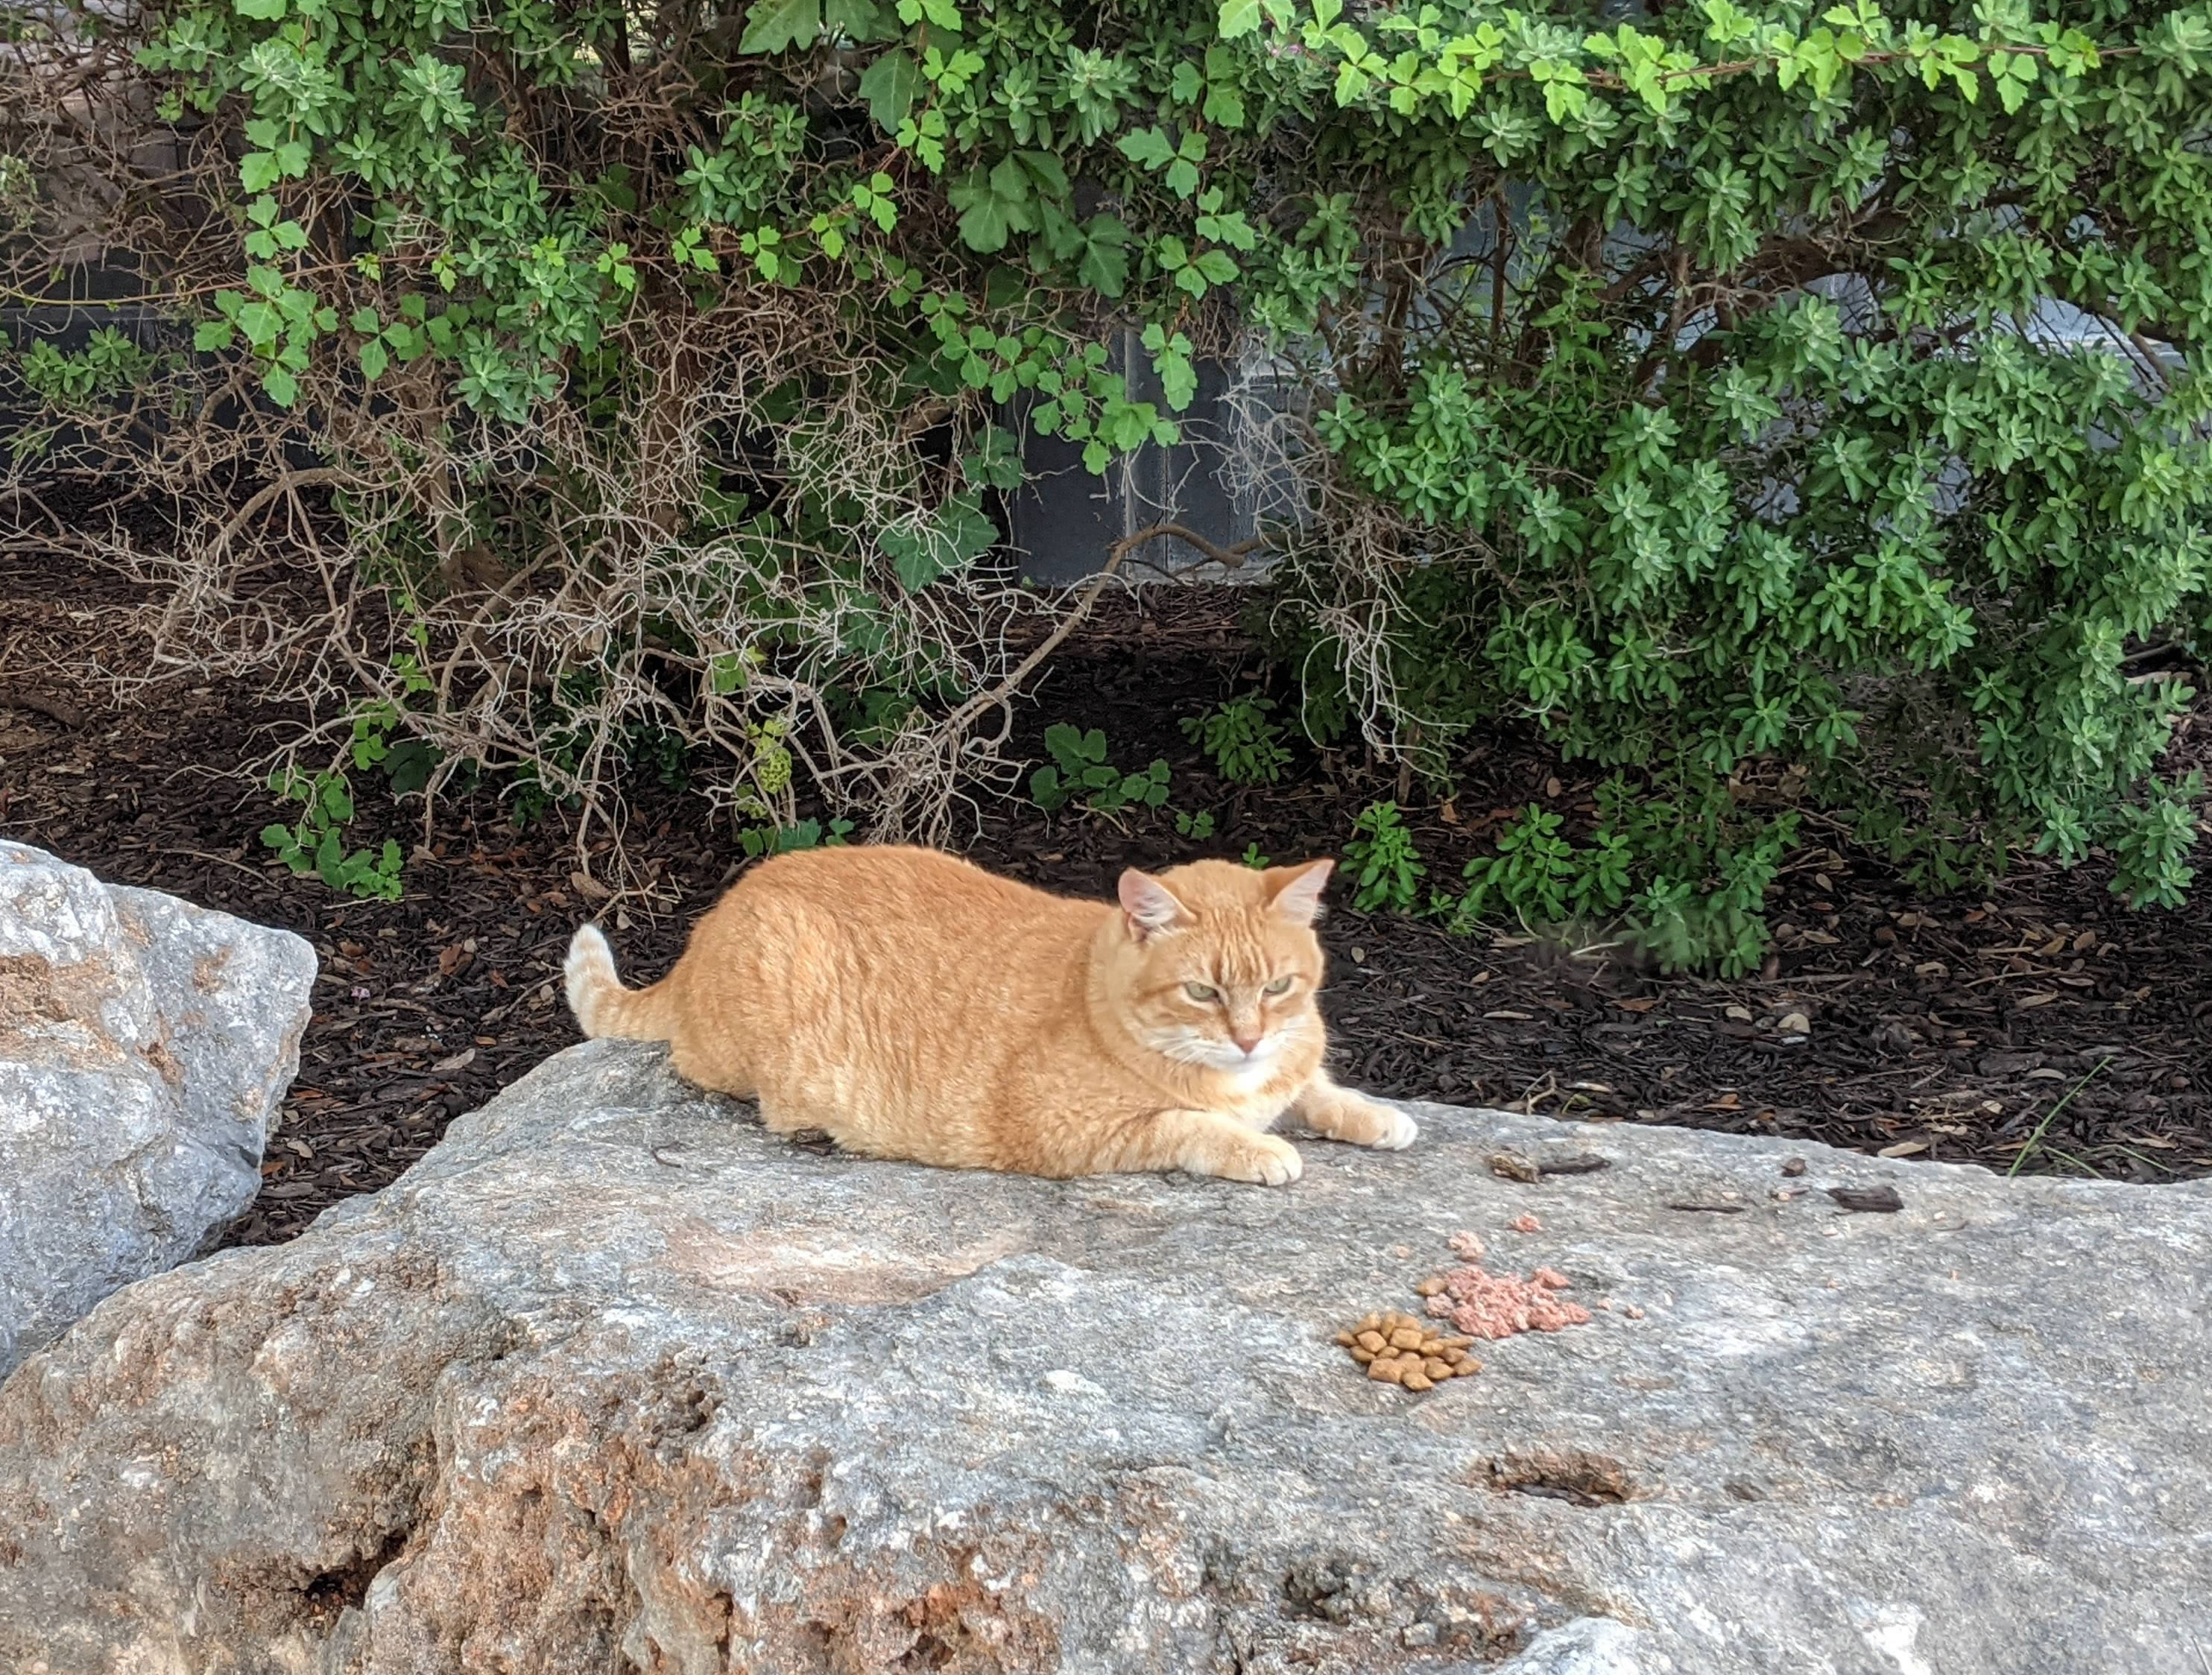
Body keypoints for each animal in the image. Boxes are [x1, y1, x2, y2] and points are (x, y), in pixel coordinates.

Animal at [564, 846, 1416, 1184]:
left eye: (1278, 987)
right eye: (1202, 992)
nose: (1247, 1037)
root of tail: (709, 924)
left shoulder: (1289, 1066)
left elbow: (1320, 1090)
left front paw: (1377, 1114)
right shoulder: (1076, 1129)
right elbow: (1192, 1126)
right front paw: (1260, 1147)